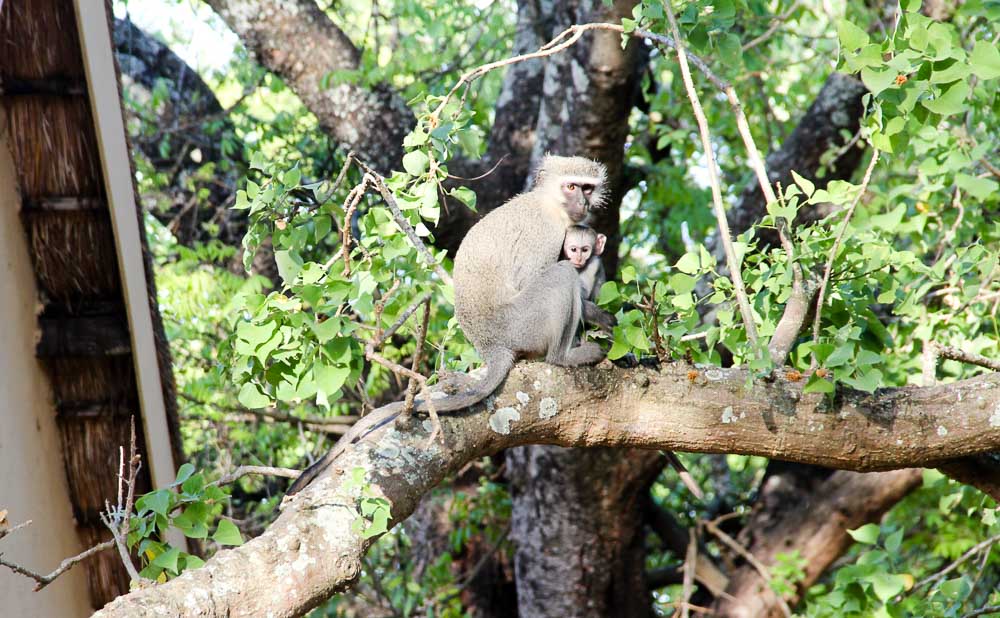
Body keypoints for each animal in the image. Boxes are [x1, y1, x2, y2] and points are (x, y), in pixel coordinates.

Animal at [286, 155, 616, 496]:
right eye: (571, 187)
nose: (582, 203)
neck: (550, 205)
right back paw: (564, 356)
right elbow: (540, 276)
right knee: (562, 276)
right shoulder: (545, 234)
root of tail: (489, 344)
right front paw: (600, 317)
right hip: (522, 322)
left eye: (587, 189)